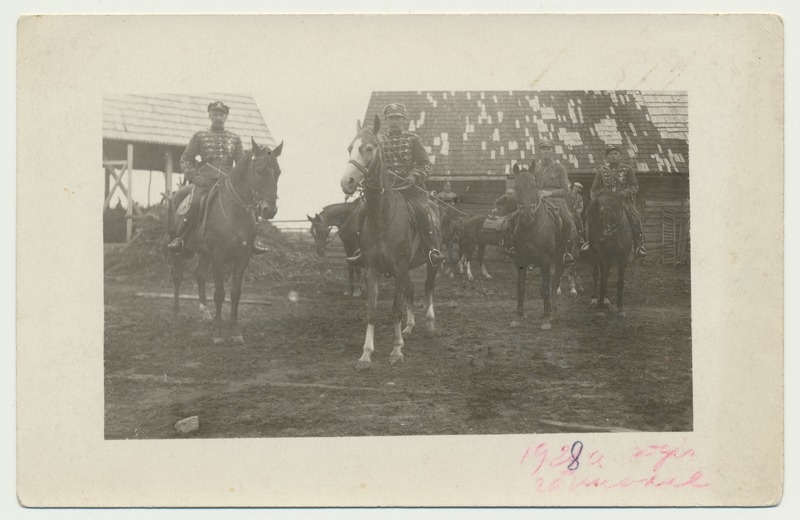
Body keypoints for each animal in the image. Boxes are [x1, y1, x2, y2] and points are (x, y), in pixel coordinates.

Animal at [166, 139, 284, 346]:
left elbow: (235, 293)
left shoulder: (243, 257)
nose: (269, 210)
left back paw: (205, 312)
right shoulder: (218, 256)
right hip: (178, 249)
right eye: (259, 170)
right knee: (177, 277)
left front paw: (235, 331)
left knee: (200, 276)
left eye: (278, 172)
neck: (235, 209)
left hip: (204, 253)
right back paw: (174, 315)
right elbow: (220, 294)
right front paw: (218, 333)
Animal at [338, 115, 438, 370]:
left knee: (428, 288)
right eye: (350, 148)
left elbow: (395, 310)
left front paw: (396, 351)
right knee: (411, 291)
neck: (382, 216)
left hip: (432, 263)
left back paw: (429, 325)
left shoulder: (399, 267)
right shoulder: (372, 269)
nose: (347, 182)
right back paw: (410, 327)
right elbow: (372, 311)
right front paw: (365, 355)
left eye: (369, 148)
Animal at [510, 160, 564, 330]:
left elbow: (545, 288)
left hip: (561, 259)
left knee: (554, 283)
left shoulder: (545, 261)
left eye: (534, 186)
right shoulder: (520, 260)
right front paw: (518, 316)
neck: (530, 227)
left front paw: (546, 319)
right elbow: (521, 287)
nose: (527, 216)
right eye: (516, 187)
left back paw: (552, 313)